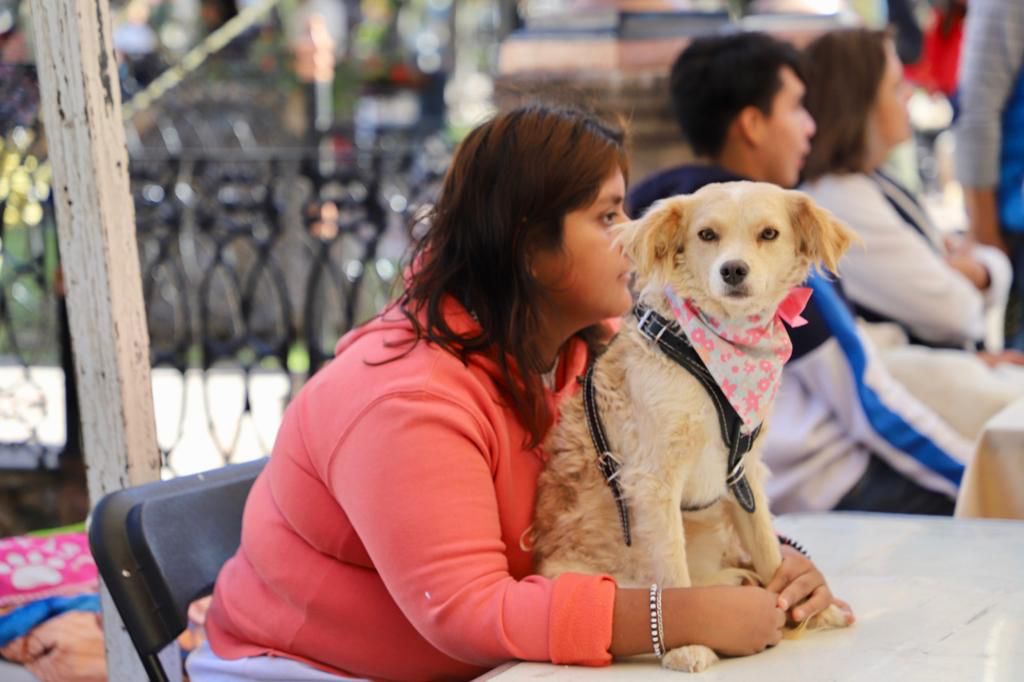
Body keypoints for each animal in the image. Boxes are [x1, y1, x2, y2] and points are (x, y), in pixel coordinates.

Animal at [536, 180, 856, 667]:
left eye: (769, 234)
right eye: (707, 235)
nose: (733, 270)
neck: (710, 355)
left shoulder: (744, 473)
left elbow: (767, 546)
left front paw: (809, 609)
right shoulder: (654, 481)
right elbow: (672, 571)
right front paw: (685, 645)